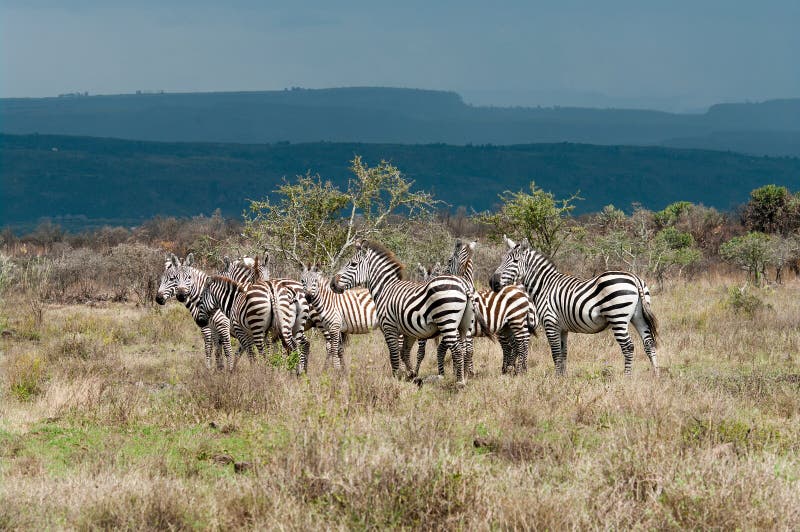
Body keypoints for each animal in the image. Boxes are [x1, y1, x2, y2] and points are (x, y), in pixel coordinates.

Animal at [330, 240, 490, 386]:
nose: (332, 284)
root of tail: (464, 284)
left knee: (457, 350)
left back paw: (460, 383)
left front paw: (397, 378)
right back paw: (464, 377)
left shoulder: (389, 327)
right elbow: (405, 353)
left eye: (353, 264)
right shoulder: (409, 331)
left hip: (447, 322)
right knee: (465, 349)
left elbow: (394, 355)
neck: (385, 288)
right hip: (465, 325)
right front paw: (412, 375)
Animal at [490, 235, 659, 376]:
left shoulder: (551, 323)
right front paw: (563, 377)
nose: (493, 282)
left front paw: (557, 378)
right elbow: (563, 353)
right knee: (649, 343)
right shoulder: (563, 328)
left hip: (618, 317)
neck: (544, 286)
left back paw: (627, 376)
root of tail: (634, 278)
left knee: (628, 347)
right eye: (502, 260)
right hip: (638, 317)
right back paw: (656, 374)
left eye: (515, 262)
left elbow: (555, 353)